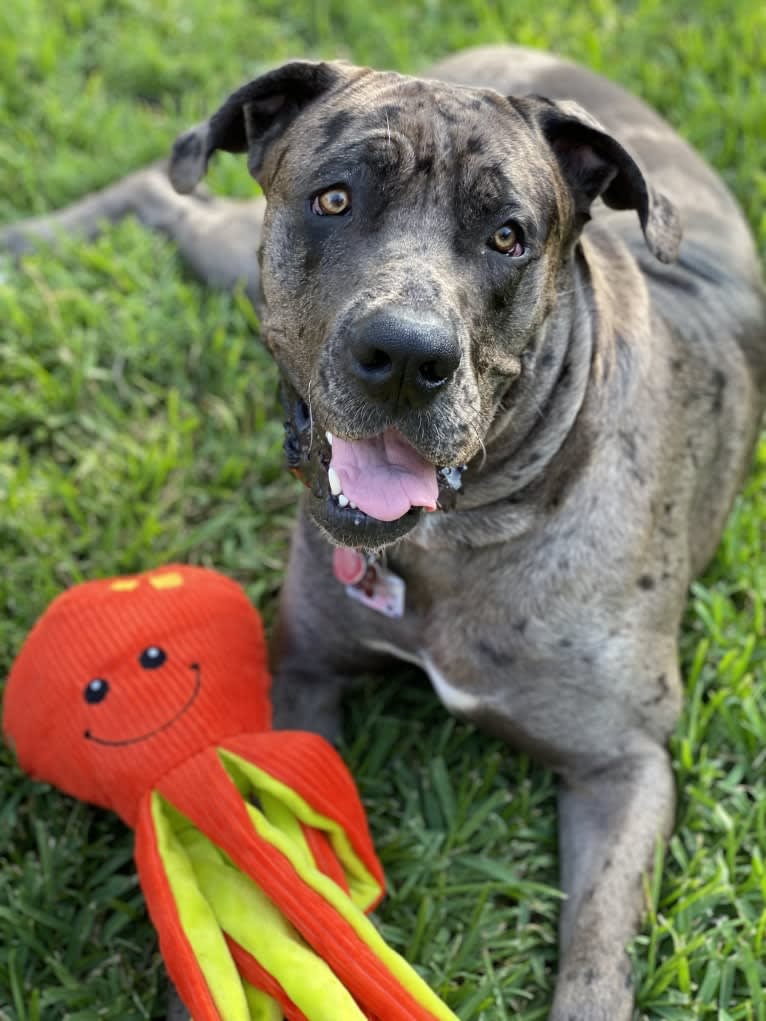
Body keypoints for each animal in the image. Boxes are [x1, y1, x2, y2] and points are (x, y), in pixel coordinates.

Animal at [4, 43, 763, 1016]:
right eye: (335, 199)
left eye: (508, 236)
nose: (406, 355)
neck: (455, 538)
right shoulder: (305, 672)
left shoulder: (623, 768)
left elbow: (596, 957)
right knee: (159, 190)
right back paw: (27, 238)